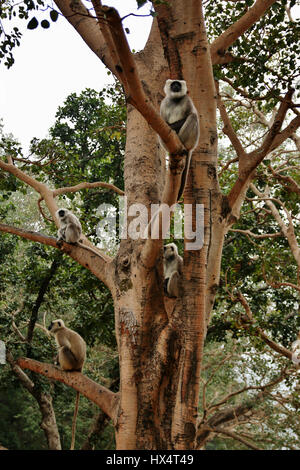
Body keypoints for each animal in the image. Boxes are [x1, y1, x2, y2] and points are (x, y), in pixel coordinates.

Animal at [47, 320, 86, 452]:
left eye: (51, 324)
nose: (48, 326)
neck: (61, 329)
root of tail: (80, 367)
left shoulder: (60, 335)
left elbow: (66, 347)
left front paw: (56, 360)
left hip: (71, 362)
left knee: (64, 349)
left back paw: (62, 368)